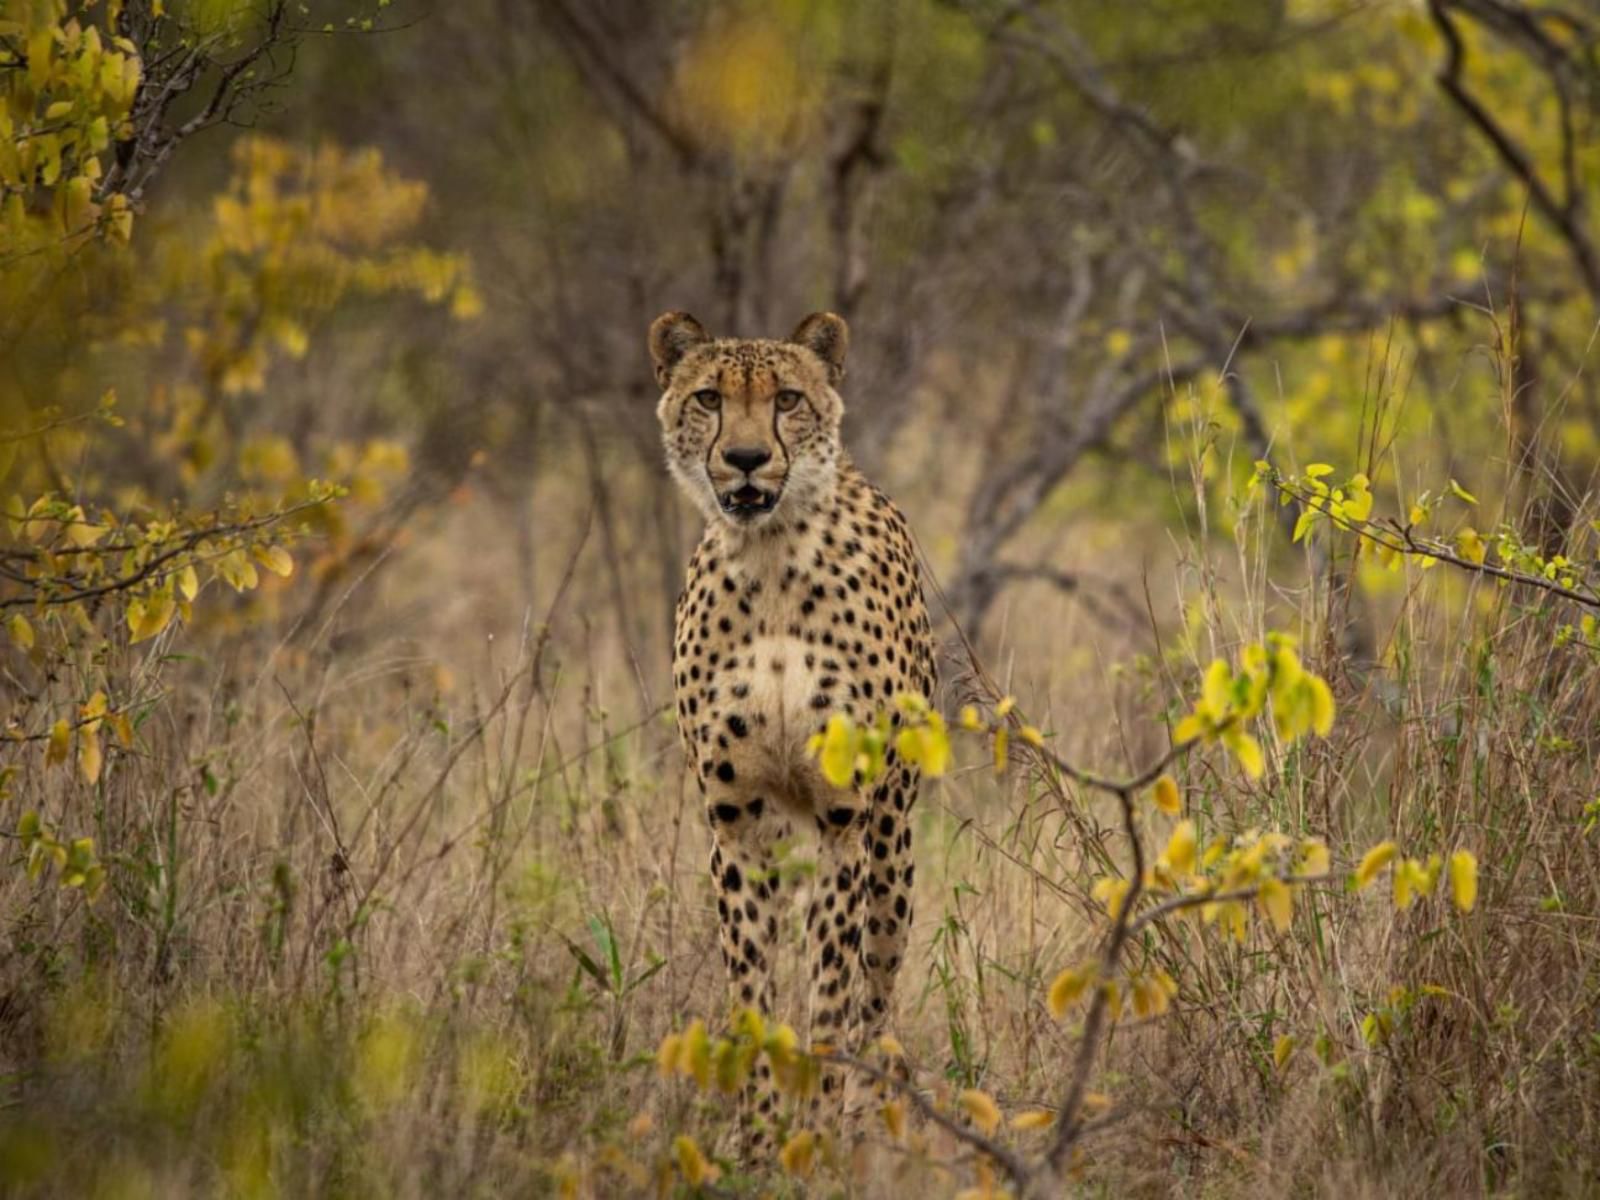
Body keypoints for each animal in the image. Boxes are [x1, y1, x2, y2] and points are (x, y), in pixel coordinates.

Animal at [649, 310, 934, 1145]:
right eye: (709, 397)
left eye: (786, 399)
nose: (746, 459)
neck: (770, 560)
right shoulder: (736, 822)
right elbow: (752, 990)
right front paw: (753, 1134)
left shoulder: (844, 815)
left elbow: (832, 993)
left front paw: (817, 1125)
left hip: (892, 845)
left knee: (877, 980)